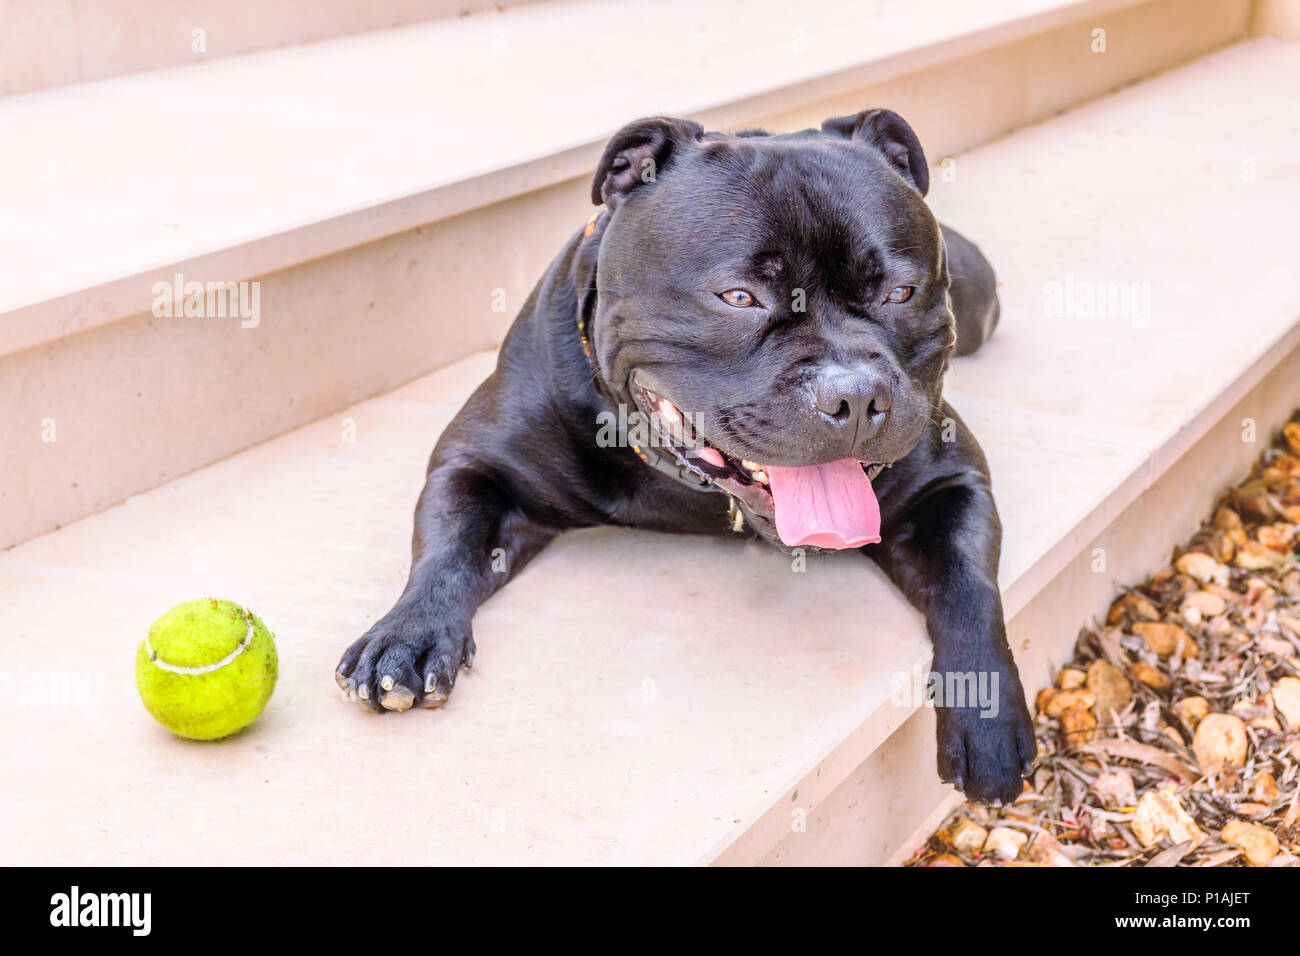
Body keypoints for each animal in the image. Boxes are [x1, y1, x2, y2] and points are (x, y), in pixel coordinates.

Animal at [335, 108, 1034, 806]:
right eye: (739, 297)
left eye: (900, 292)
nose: (856, 395)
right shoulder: (475, 462)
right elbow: (448, 546)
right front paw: (408, 636)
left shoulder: (952, 481)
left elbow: (970, 588)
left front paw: (988, 716)